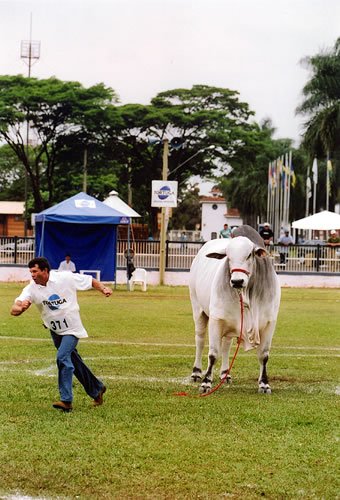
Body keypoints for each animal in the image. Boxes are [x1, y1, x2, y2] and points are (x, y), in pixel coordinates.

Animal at [189, 232, 282, 392]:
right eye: (228, 256)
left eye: (249, 255)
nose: (237, 281)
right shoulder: (216, 320)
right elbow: (213, 354)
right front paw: (206, 383)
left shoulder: (270, 323)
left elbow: (264, 355)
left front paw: (264, 384)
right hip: (198, 311)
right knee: (200, 340)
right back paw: (196, 372)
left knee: (226, 344)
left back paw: (225, 373)